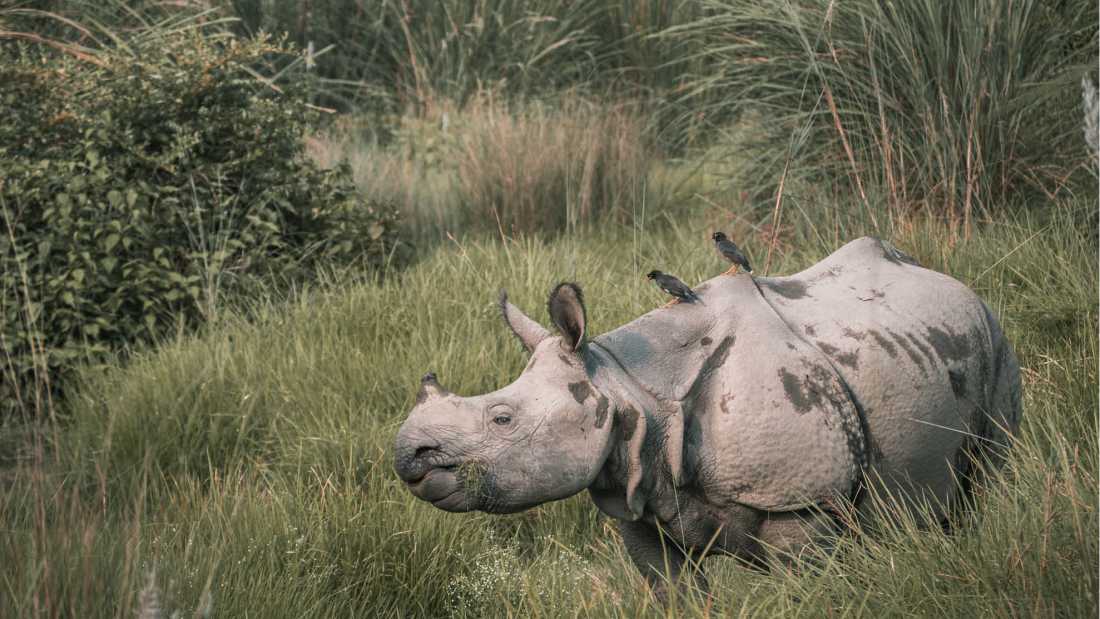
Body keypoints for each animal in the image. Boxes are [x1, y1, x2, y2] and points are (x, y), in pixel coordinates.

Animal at [393, 237, 1022, 596]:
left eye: (501, 419)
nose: (408, 455)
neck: (628, 389)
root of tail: (950, 280)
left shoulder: (801, 504)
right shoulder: (639, 500)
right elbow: (676, 595)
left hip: (994, 333)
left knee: (987, 478)